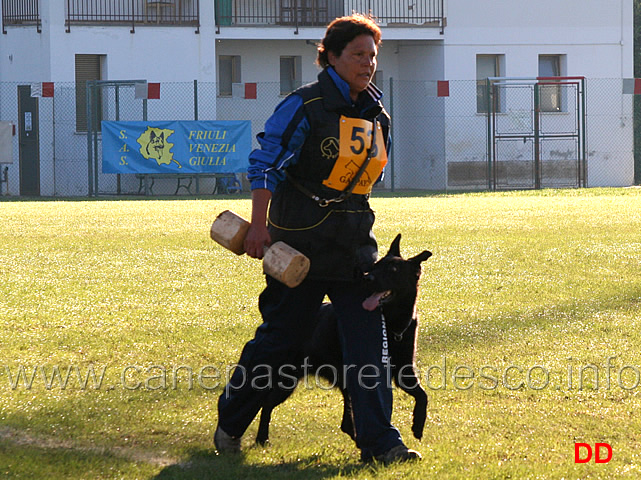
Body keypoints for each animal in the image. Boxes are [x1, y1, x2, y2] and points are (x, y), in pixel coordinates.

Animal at [254, 234, 430, 444]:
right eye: (375, 266)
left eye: (393, 270)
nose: (366, 278)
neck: (392, 324)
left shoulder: (404, 372)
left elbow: (423, 395)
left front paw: (418, 424)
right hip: (286, 380)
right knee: (266, 403)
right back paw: (261, 438)